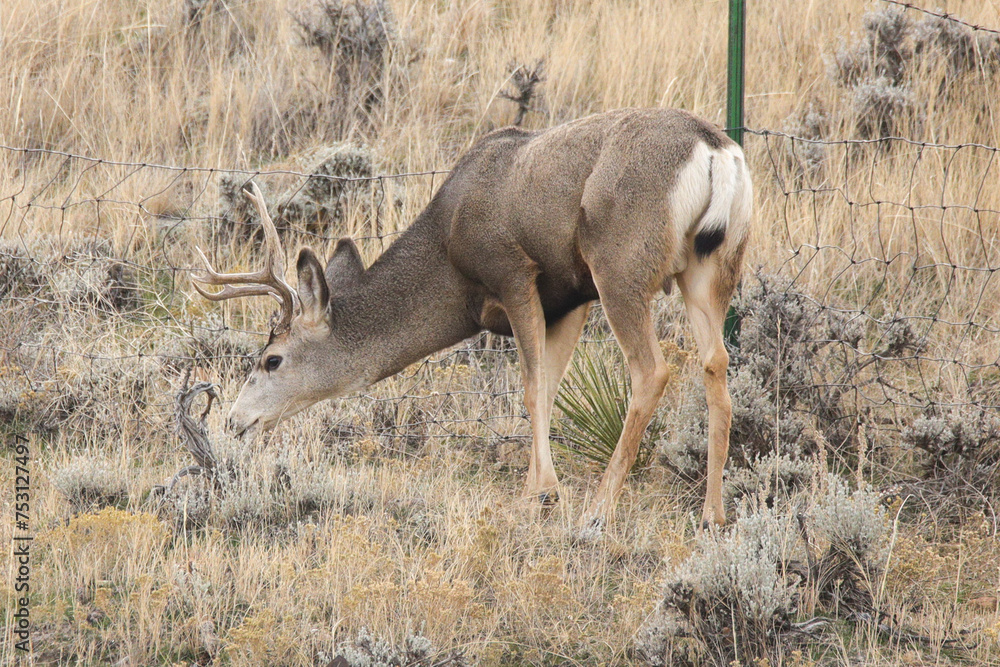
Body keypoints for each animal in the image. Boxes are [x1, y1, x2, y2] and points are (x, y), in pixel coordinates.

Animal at [193, 108, 752, 529]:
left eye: (271, 359)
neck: (449, 257)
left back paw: (598, 510)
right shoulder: (572, 297)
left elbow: (531, 387)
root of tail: (714, 151)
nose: (235, 420)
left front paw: (542, 493)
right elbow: (548, 386)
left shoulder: (514, 271)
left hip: (620, 263)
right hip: (711, 266)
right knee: (716, 363)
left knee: (652, 370)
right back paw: (713, 515)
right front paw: (534, 488)